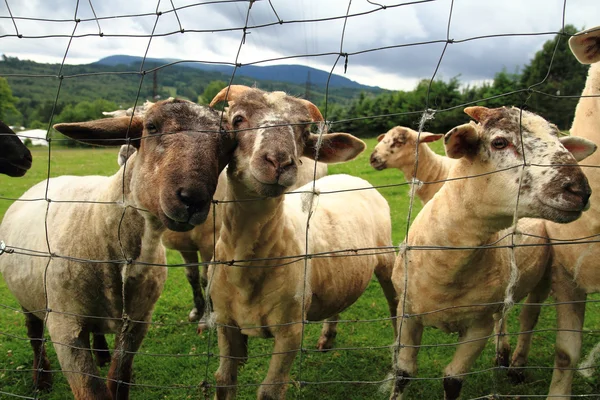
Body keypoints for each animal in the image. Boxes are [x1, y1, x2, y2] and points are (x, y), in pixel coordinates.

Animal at [0, 97, 233, 400]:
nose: (192, 199)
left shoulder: (137, 322)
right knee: (34, 333)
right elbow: (93, 390)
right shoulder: (65, 328)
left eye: (227, 145)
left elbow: (119, 378)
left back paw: (100, 354)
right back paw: (42, 379)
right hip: (29, 297)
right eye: (151, 126)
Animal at [206, 85, 398, 400]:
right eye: (237, 119)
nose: (279, 162)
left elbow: (269, 391)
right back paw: (328, 338)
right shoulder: (225, 321)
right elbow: (223, 380)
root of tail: (352, 176)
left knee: (396, 310)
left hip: (387, 260)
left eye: (304, 129)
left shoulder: (291, 329)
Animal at [390, 105, 596, 400]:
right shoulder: (406, 312)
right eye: (499, 142)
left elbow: (452, 380)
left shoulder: (479, 326)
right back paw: (502, 355)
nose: (580, 190)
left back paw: (516, 365)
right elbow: (403, 374)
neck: (445, 264)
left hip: (545, 275)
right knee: (504, 315)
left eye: (558, 139)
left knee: (528, 316)